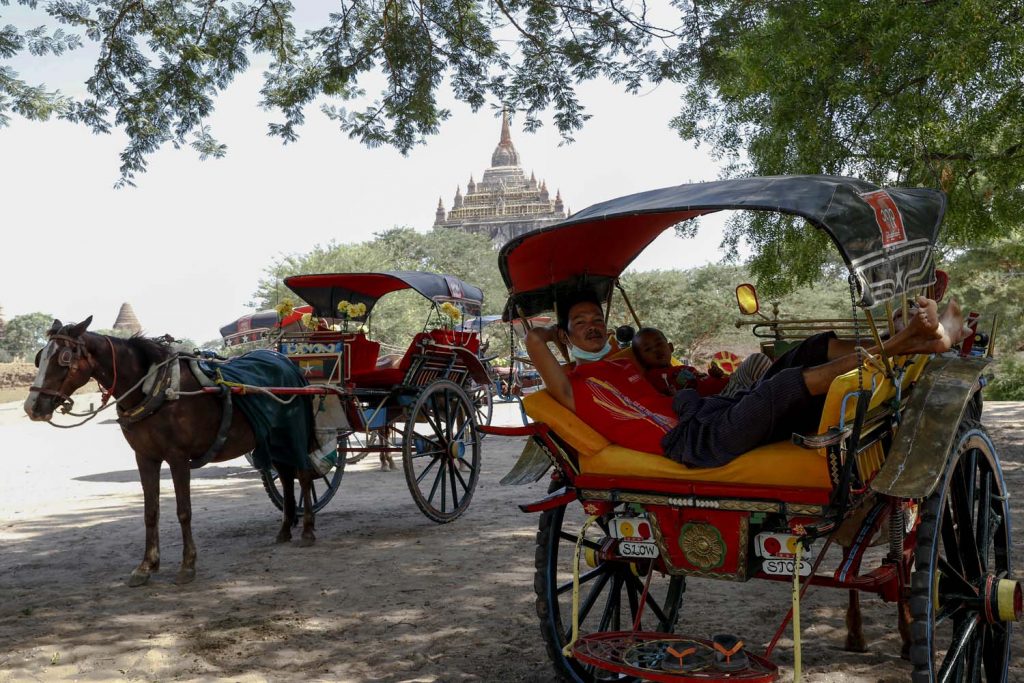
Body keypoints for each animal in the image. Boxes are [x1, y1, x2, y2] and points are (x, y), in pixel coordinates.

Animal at [24, 317, 319, 585]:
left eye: (63, 358)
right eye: (40, 358)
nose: (32, 406)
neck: (155, 388)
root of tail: (285, 362)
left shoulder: (178, 457)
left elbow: (183, 510)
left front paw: (187, 565)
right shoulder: (145, 457)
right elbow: (150, 512)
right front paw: (146, 566)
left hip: (295, 431)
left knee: (303, 474)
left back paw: (307, 531)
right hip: (273, 438)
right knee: (286, 475)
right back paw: (285, 529)